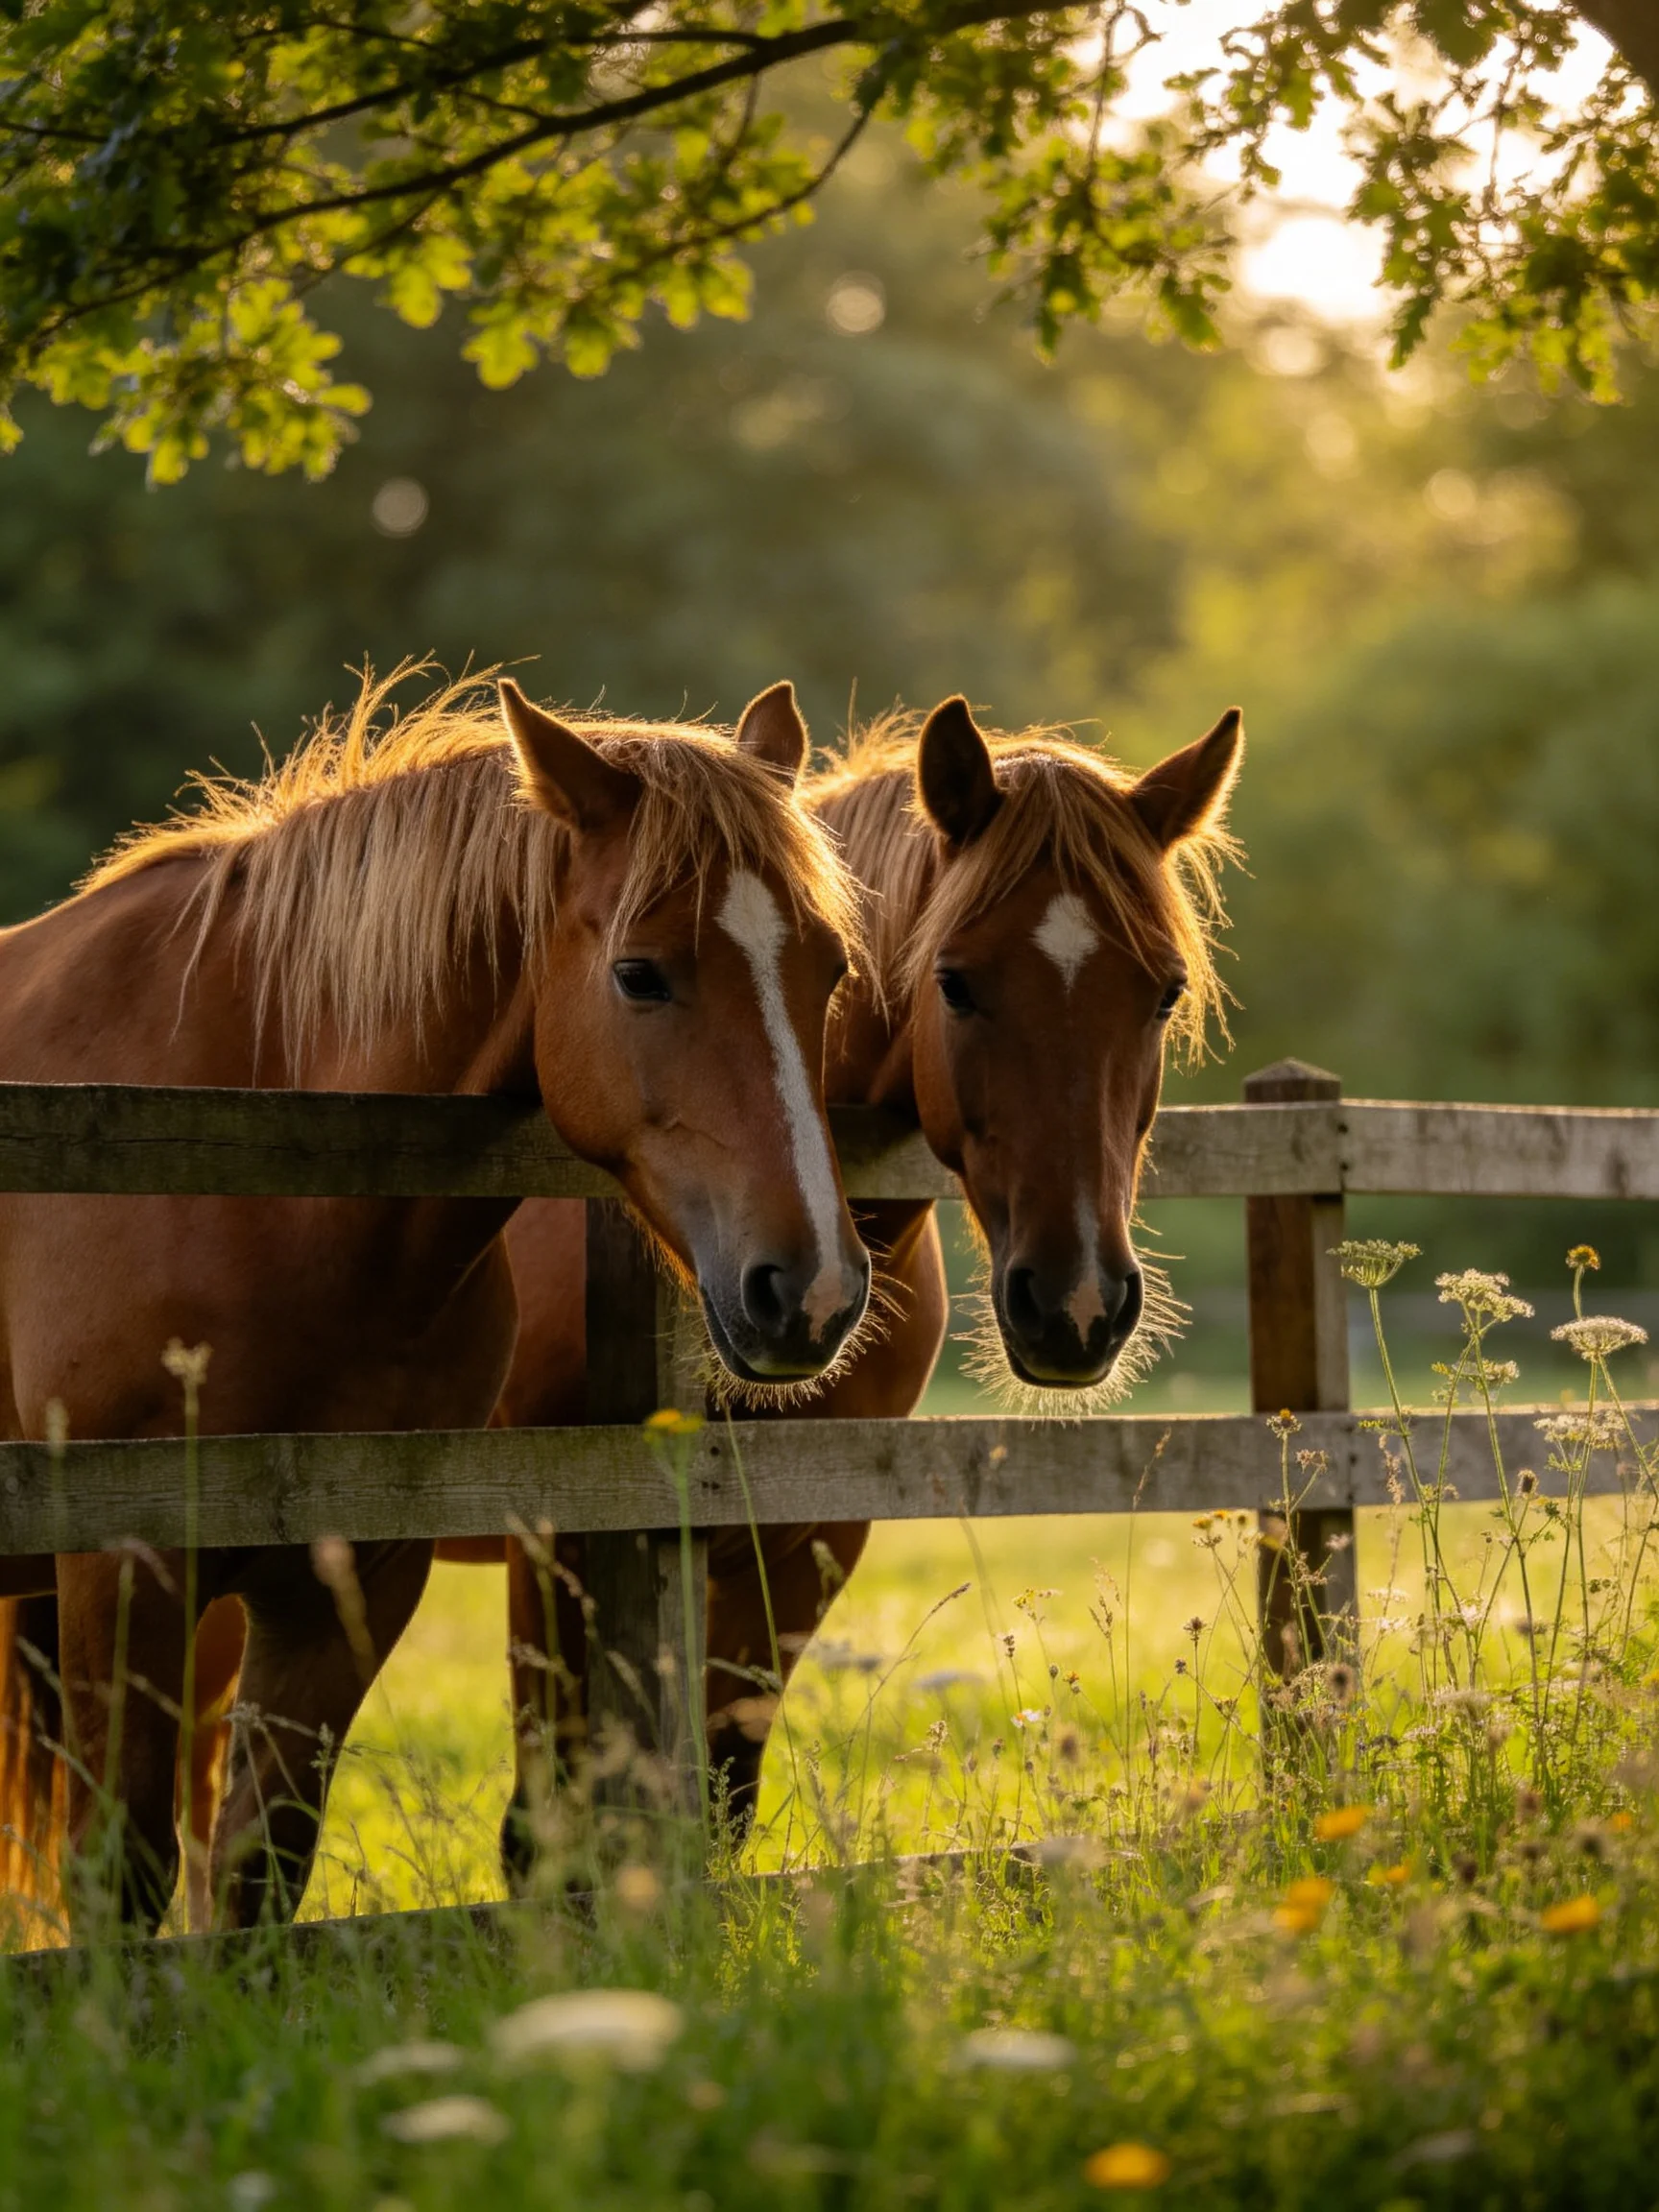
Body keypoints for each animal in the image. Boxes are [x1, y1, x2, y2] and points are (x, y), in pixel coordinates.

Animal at [0, 666, 871, 1940]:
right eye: (640, 971)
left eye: (830, 970)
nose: (810, 1289)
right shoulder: (123, 1569)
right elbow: (124, 1880)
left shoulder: (347, 1578)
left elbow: (258, 1873)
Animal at [478, 693, 1244, 1856]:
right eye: (955, 983)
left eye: (1164, 994)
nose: (1077, 1305)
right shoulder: (558, 1540)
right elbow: (545, 1830)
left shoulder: (799, 1545)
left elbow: (719, 1799)